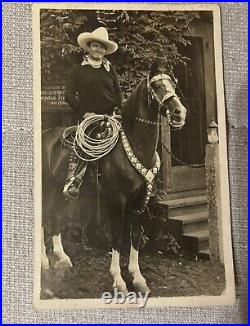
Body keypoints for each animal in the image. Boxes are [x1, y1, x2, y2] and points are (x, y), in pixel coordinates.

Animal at [41, 66, 186, 296]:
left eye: (173, 83)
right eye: (156, 86)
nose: (180, 112)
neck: (136, 146)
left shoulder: (140, 202)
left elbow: (135, 237)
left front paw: (138, 278)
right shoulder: (117, 202)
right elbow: (117, 239)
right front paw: (119, 280)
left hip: (60, 191)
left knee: (56, 218)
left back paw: (62, 259)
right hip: (46, 189)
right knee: (45, 218)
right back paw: (44, 262)